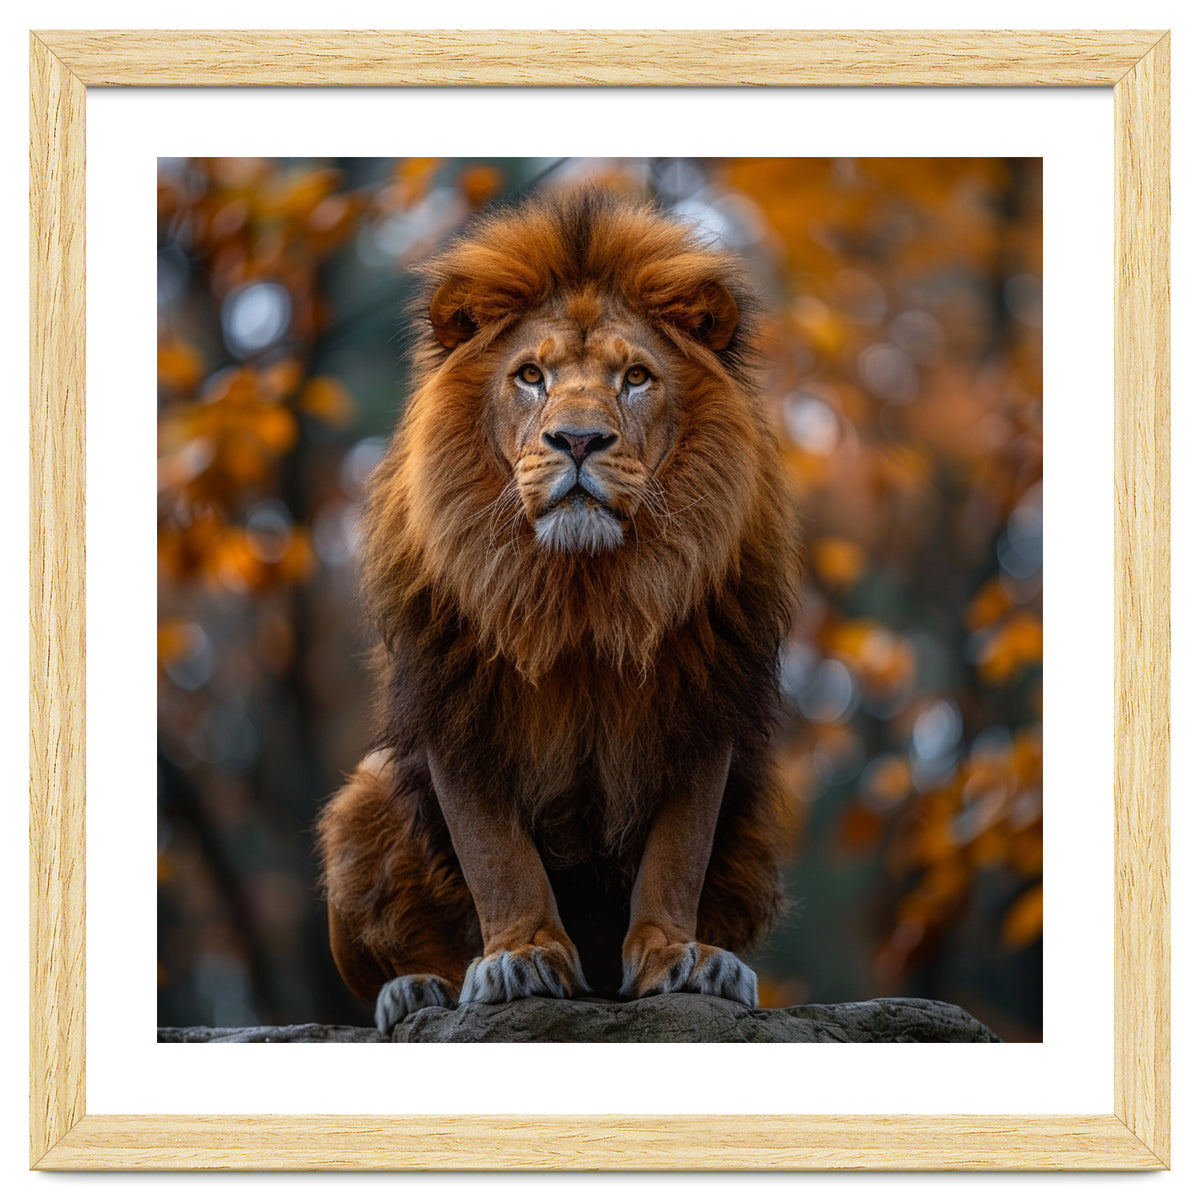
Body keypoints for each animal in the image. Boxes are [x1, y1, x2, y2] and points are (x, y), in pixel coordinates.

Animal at [317, 186, 799, 1033]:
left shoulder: (704, 701)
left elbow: (678, 852)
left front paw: (680, 957)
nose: (577, 440)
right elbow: (495, 854)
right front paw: (520, 958)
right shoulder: (455, 701)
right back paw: (417, 989)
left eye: (636, 376)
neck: (583, 592)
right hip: (361, 798)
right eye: (531, 375)